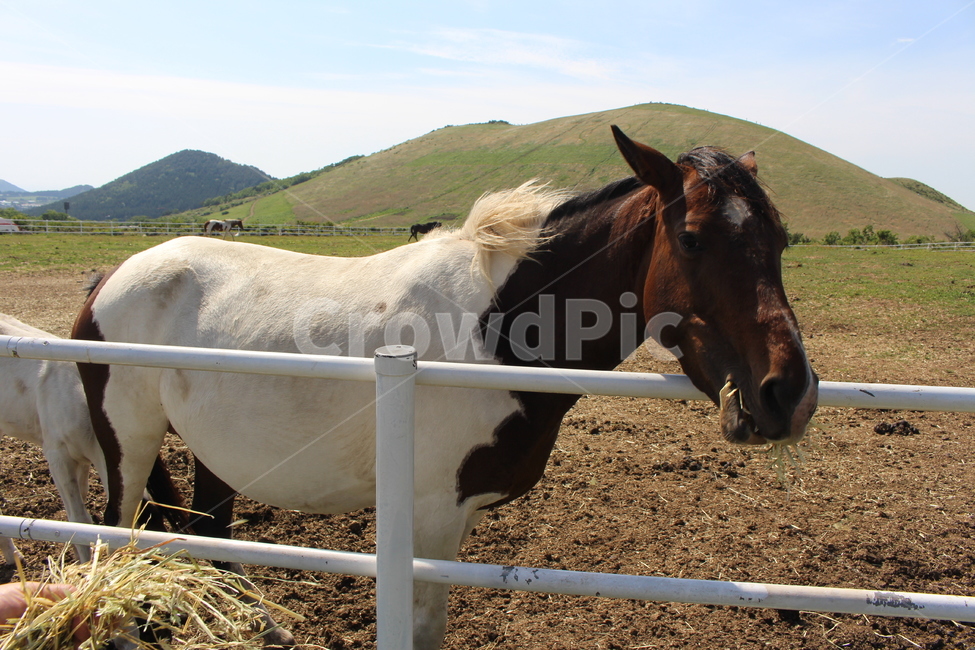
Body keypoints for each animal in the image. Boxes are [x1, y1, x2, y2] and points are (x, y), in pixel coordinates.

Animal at [72, 126, 817, 649]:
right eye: (690, 238)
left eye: (781, 240)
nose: (787, 394)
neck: (495, 333)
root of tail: (111, 277)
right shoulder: (428, 515)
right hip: (129, 444)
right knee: (117, 530)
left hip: (215, 454)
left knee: (210, 534)